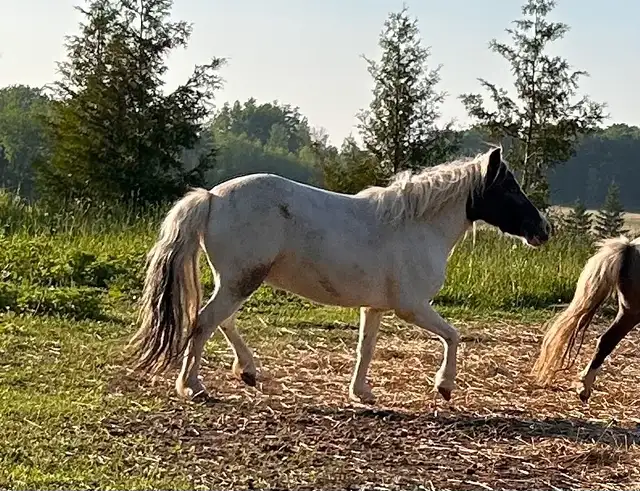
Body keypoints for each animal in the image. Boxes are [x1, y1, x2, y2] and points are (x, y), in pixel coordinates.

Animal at [129, 147, 550, 403]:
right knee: (204, 323)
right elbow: (453, 335)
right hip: (240, 282)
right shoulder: (412, 307)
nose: (543, 230)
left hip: (236, 281)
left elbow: (366, 347)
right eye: (509, 188)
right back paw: (192, 386)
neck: (415, 225)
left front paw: (361, 393)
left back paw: (247, 371)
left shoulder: (375, 308)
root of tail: (212, 198)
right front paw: (444, 386)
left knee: (222, 321)